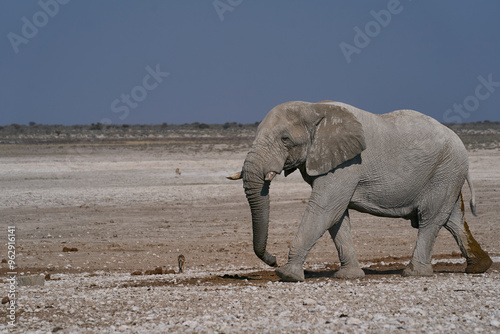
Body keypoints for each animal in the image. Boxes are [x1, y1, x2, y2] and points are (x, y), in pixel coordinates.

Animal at [228, 100, 492, 282]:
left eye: (285, 139)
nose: (272, 260)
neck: (314, 108)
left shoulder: (348, 163)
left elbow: (325, 209)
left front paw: (287, 275)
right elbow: (337, 216)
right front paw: (349, 276)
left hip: (445, 171)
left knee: (431, 219)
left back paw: (414, 273)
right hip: (447, 174)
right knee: (453, 219)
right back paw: (479, 267)